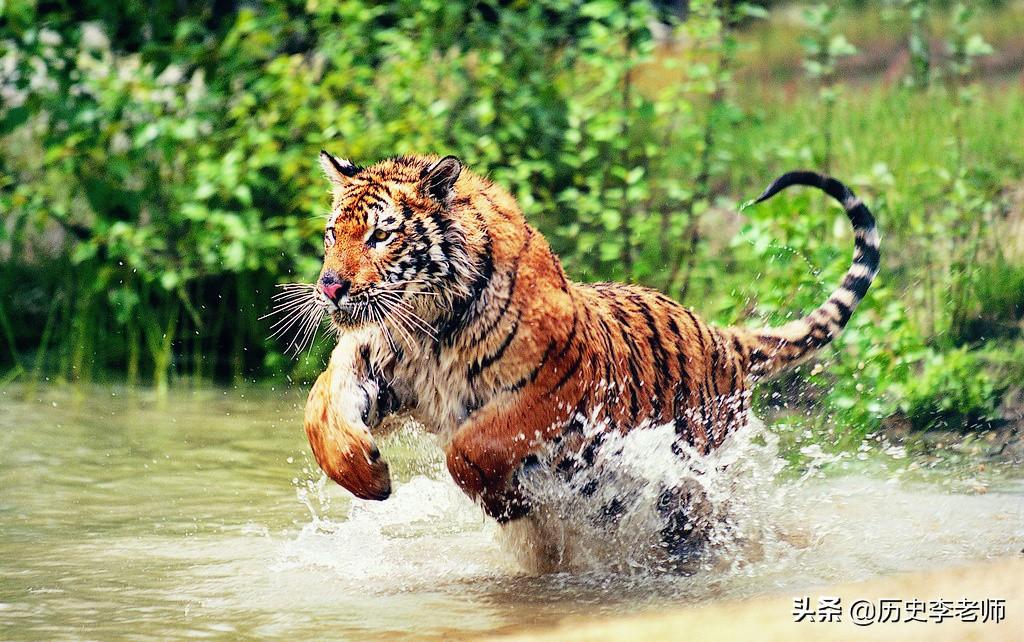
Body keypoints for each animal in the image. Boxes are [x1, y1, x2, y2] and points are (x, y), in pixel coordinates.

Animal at [286, 151, 880, 532]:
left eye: (380, 235)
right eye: (332, 234)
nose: (329, 286)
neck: (428, 325)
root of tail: (721, 336)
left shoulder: (553, 390)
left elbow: (471, 447)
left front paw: (506, 503)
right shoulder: (375, 360)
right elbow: (319, 409)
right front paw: (369, 476)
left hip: (695, 484)